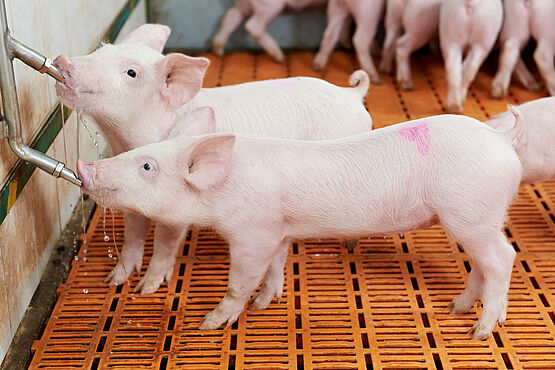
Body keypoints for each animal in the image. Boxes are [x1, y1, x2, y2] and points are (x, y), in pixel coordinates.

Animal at [53, 23, 374, 294]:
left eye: (131, 73)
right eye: (101, 50)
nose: (63, 61)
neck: (124, 138)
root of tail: (352, 95)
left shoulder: (177, 202)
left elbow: (165, 241)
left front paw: (146, 289)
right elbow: (134, 231)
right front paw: (114, 281)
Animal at [78, 105, 524, 340]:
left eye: (147, 165)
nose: (86, 166)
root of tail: (500, 140)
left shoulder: (251, 232)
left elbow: (241, 279)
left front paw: (209, 323)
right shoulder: (277, 229)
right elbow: (276, 265)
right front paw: (266, 301)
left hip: (470, 212)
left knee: (503, 258)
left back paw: (480, 330)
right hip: (475, 218)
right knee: (483, 264)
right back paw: (455, 309)